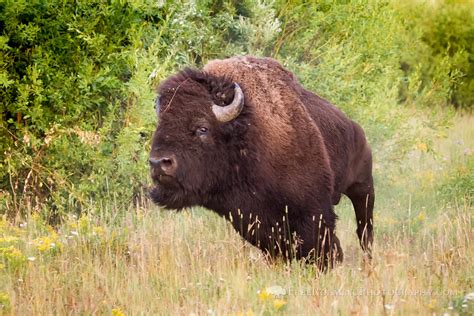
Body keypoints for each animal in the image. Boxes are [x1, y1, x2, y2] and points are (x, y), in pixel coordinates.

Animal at [150, 55, 372, 268]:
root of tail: (356, 128)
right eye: (160, 124)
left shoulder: (315, 213)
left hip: (363, 188)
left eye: (202, 128)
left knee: (364, 231)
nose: (158, 163)